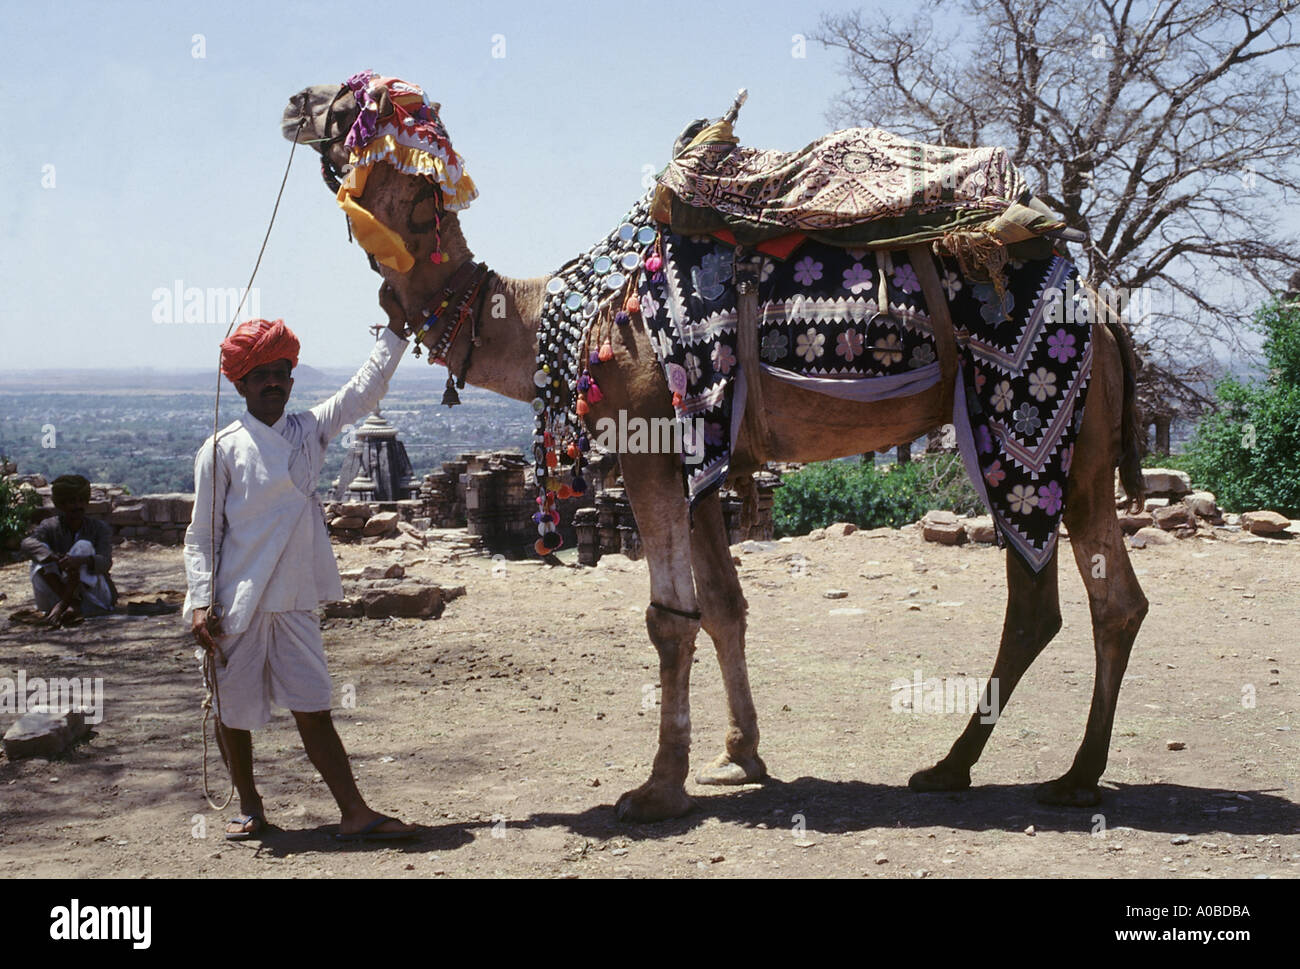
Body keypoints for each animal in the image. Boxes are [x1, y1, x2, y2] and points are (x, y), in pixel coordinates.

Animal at [282, 75, 1149, 822]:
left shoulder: (648, 442)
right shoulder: (699, 453)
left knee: (1047, 599)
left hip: (1030, 423)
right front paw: (739, 755)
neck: (564, 320)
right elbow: (726, 606)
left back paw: (1011, 770)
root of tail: (1104, 313)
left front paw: (657, 789)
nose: (294, 100)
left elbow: (670, 617)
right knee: (1107, 600)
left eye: (355, 100)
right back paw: (1026, 770)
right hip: (1070, 447)